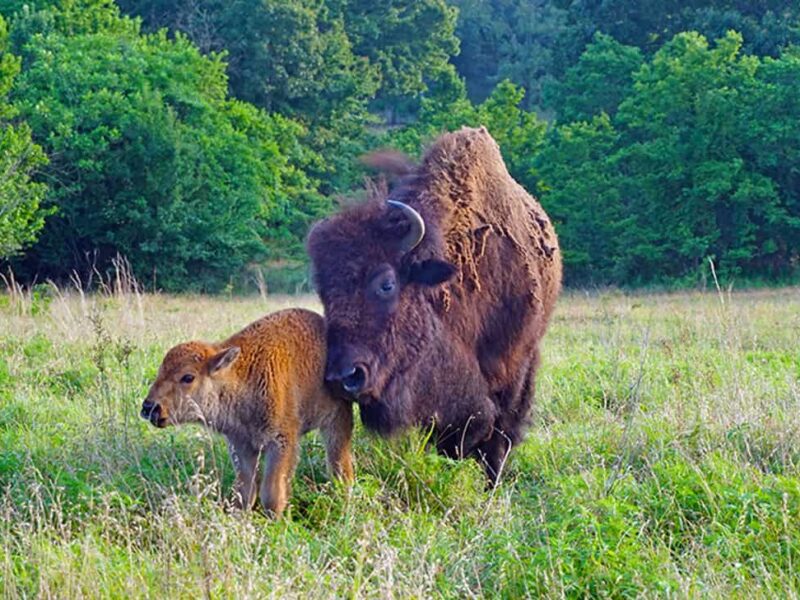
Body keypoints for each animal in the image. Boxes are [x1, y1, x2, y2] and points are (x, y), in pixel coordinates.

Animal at [307, 127, 561, 483]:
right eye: (324, 292)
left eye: (387, 283)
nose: (343, 378)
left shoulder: (513, 367)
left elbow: (499, 436)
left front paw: (492, 482)